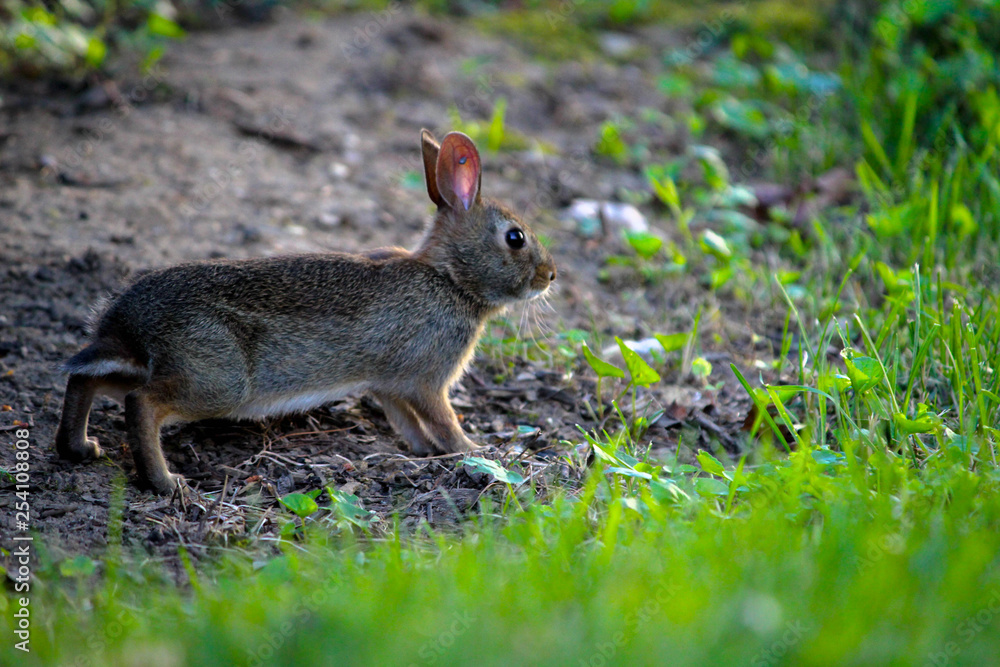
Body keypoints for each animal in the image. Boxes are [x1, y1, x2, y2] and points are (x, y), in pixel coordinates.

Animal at [54, 130, 557, 494]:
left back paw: (79, 448)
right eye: (515, 238)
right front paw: (477, 449)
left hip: (151, 367)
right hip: (216, 380)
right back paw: (165, 482)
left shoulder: (389, 384)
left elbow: (408, 423)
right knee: (142, 404)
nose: (550, 275)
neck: (450, 278)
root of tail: (127, 322)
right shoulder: (425, 379)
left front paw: (423, 451)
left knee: (87, 380)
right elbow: (443, 421)